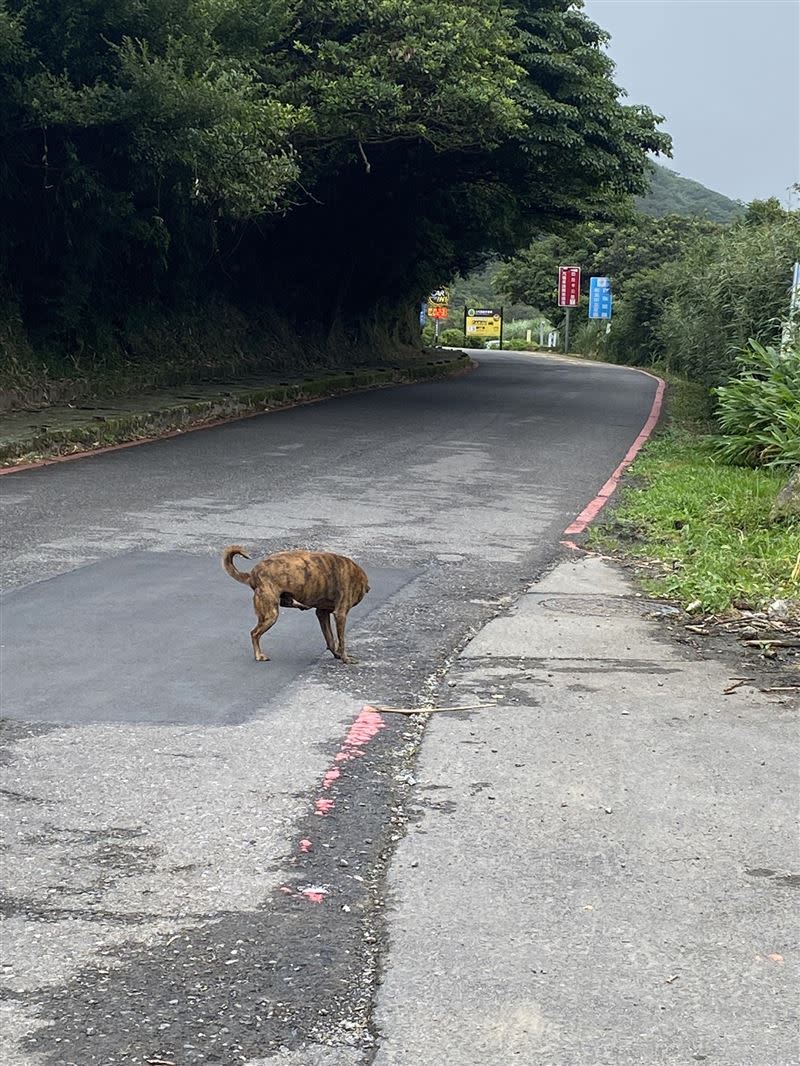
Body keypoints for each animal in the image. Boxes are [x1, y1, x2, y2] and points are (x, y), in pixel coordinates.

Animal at [224, 545, 371, 660]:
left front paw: (337, 655)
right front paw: (345, 658)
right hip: (271, 614)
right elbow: (341, 640)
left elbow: (330, 639)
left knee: (285, 603)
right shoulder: (340, 614)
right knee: (254, 633)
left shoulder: (322, 613)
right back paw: (259, 655)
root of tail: (253, 574)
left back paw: (298, 603)